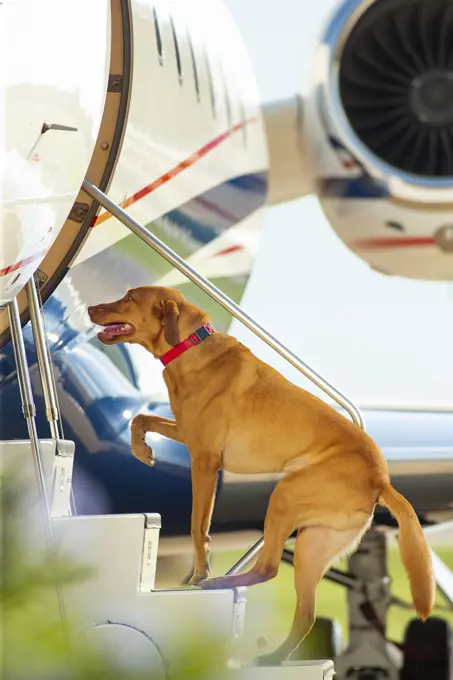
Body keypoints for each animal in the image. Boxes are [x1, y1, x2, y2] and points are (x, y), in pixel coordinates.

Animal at [87, 286, 434, 664]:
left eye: (130, 298)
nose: (90, 308)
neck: (191, 346)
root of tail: (381, 480)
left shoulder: (205, 460)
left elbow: (198, 526)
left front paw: (200, 572)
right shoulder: (187, 434)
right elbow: (141, 419)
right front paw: (142, 451)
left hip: (284, 496)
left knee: (269, 568)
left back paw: (220, 584)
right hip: (313, 544)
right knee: (305, 613)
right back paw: (271, 658)